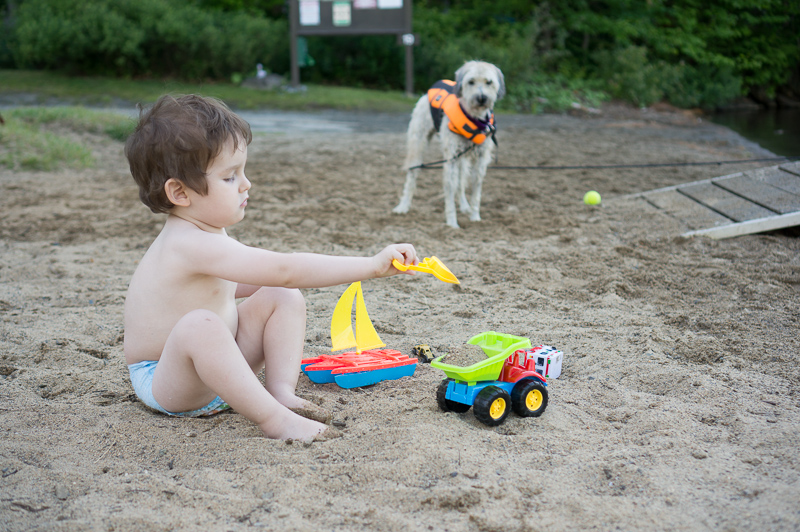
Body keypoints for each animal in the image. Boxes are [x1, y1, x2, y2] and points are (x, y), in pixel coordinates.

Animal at [390, 61, 504, 228]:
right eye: (471, 82)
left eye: (489, 82)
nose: (482, 98)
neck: (474, 118)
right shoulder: (451, 160)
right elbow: (450, 190)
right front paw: (452, 224)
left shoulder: (480, 160)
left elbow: (475, 191)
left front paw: (475, 216)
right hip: (417, 144)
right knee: (412, 175)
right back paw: (403, 206)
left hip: (462, 158)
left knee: (461, 183)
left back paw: (465, 206)